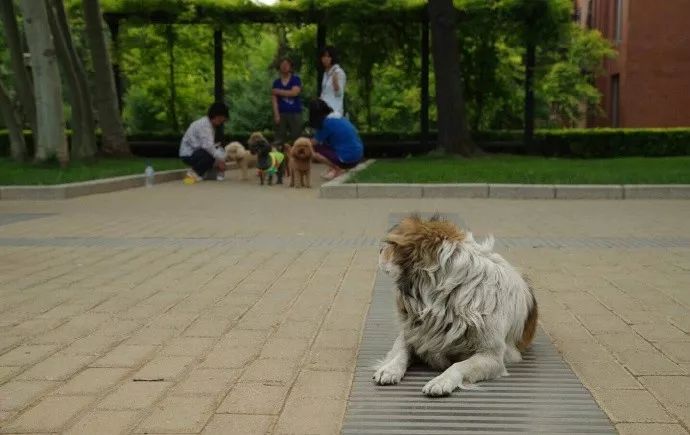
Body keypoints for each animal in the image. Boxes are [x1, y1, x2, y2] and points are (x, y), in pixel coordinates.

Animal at [370, 215, 536, 398]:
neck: (447, 294)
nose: (379, 251)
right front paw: (389, 369)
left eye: (392, 245)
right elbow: (400, 350)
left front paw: (441, 381)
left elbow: (458, 365)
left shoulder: (492, 356)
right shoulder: (412, 332)